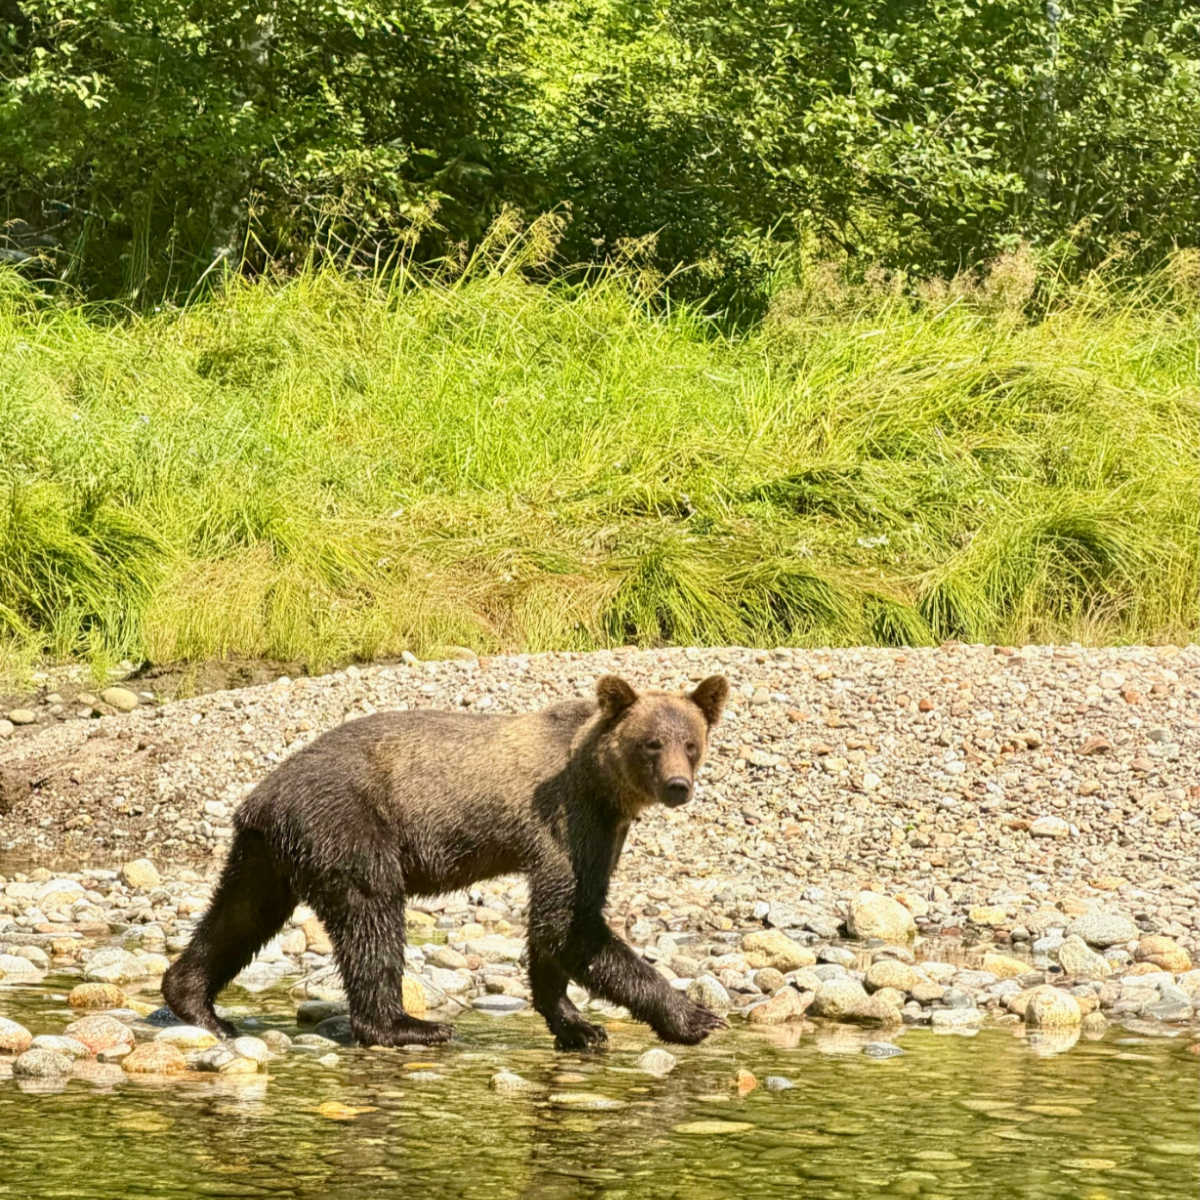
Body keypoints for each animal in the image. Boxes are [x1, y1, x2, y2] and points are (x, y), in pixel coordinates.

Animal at [162, 672, 730, 1050]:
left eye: (691, 743)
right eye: (651, 743)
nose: (677, 786)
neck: (601, 783)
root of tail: (264, 796)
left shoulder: (603, 835)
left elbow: (557, 929)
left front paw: (577, 1025)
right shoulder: (567, 822)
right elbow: (570, 925)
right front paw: (695, 1017)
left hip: (266, 851)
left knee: (241, 914)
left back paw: (197, 1004)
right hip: (348, 823)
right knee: (372, 913)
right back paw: (407, 1025)